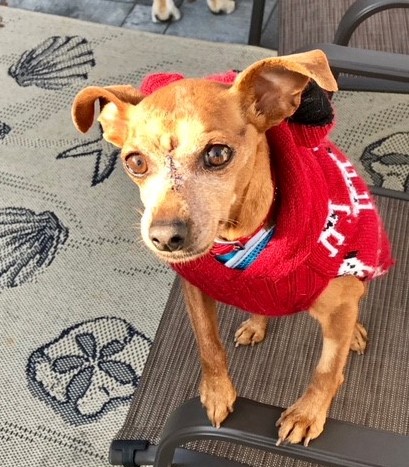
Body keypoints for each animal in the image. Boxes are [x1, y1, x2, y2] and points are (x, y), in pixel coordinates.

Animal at [71, 50, 392, 446]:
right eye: (135, 162)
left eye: (218, 154)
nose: (164, 237)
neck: (239, 240)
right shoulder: (194, 290)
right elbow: (209, 345)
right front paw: (217, 392)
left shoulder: (337, 306)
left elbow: (327, 370)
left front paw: (307, 414)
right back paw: (256, 323)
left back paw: (355, 333)